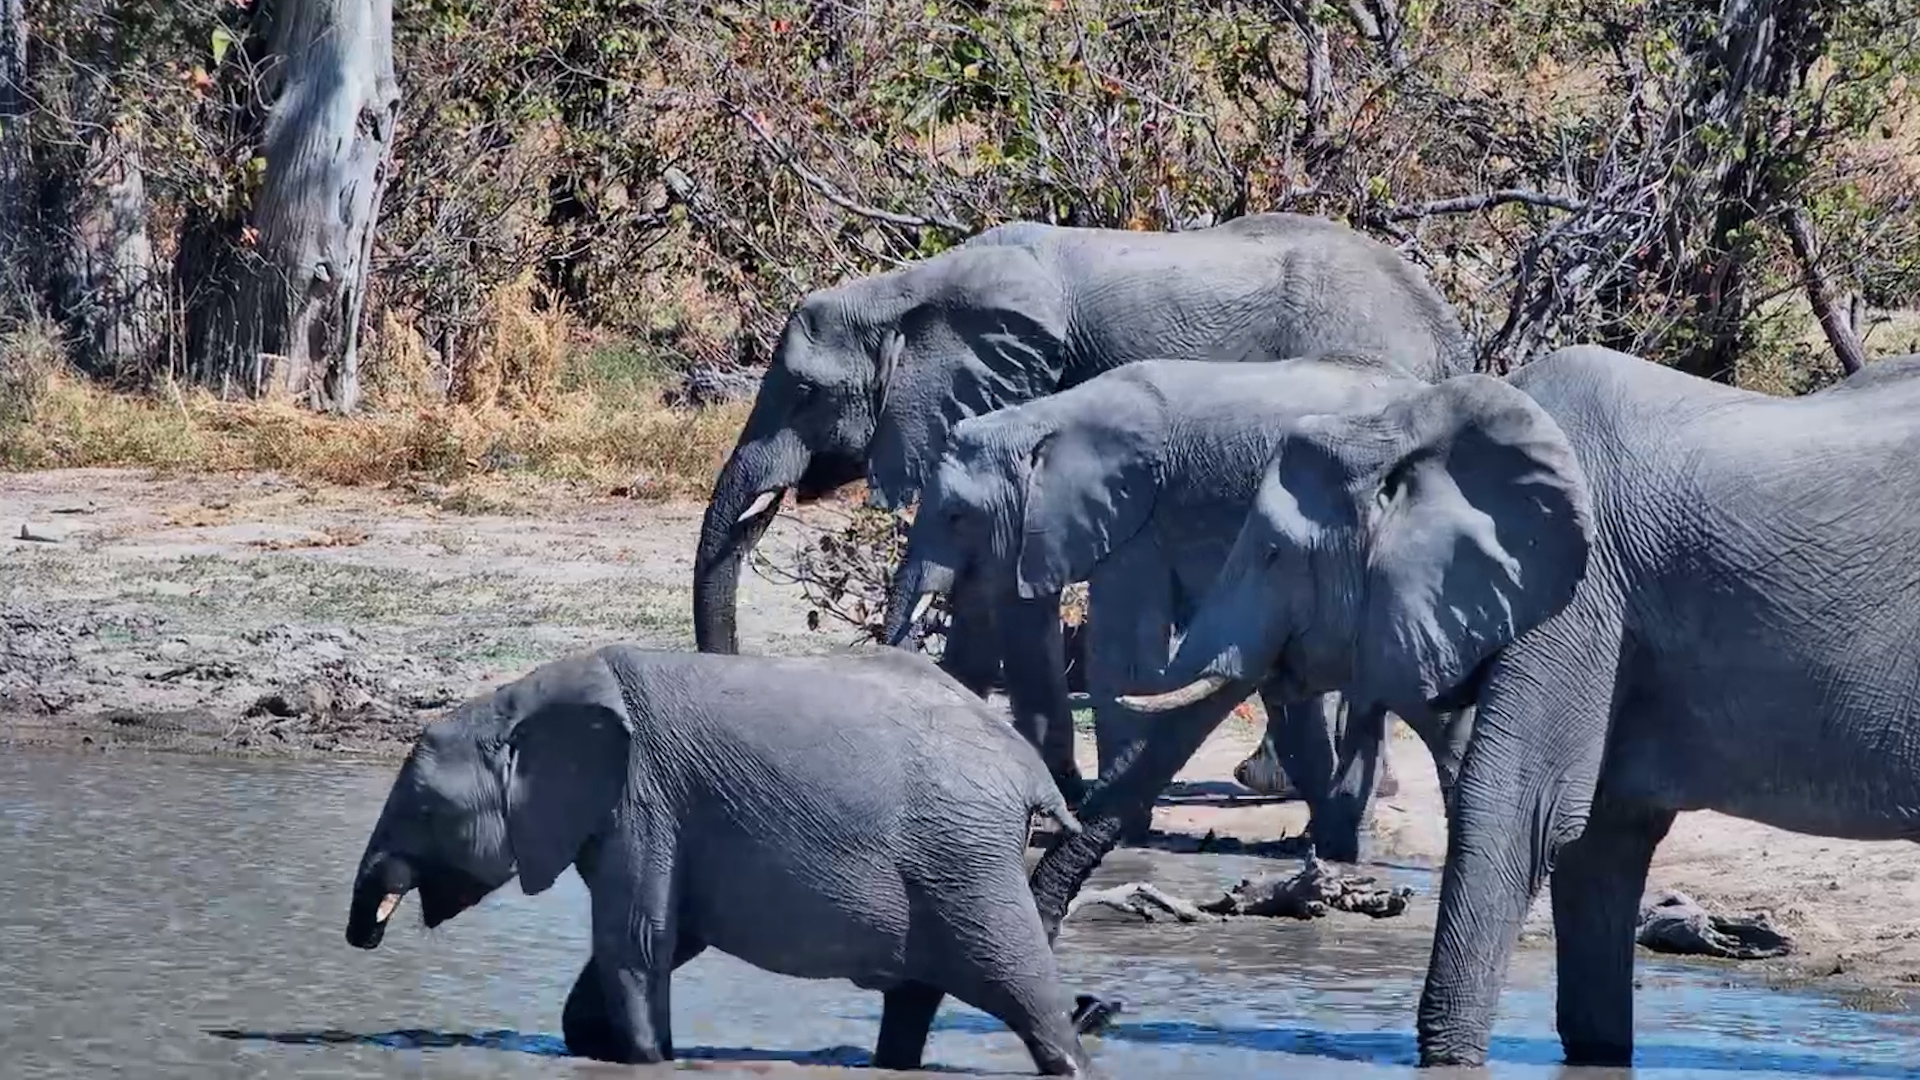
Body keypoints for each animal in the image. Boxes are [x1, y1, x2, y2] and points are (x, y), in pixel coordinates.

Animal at [344, 643, 1094, 1075]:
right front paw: (607, 1050)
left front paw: (651, 1060)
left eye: (425, 813)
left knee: (1028, 995)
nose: (362, 937)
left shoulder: (644, 796)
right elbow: (665, 940)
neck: (521, 698)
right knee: (915, 1004)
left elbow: (638, 940)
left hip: (966, 860)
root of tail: (1033, 773)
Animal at [693, 210, 1473, 799]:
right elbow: (986, 591)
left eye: (805, 393)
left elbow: (1012, 593)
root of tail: (1445, 331)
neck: (903, 292)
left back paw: (1272, 781)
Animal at [882, 354, 1478, 857]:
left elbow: (1120, 654)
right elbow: (1016, 630)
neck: (1040, 420)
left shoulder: (1139, 519)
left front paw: (1117, 823)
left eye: (956, 516)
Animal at [1112, 345, 1920, 1067]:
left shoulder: (1583, 595)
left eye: (1274, 554)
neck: (1412, 419)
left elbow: (1517, 810)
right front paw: (1595, 1056)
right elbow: (1600, 840)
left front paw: (1446, 1058)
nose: (1100, 1009)